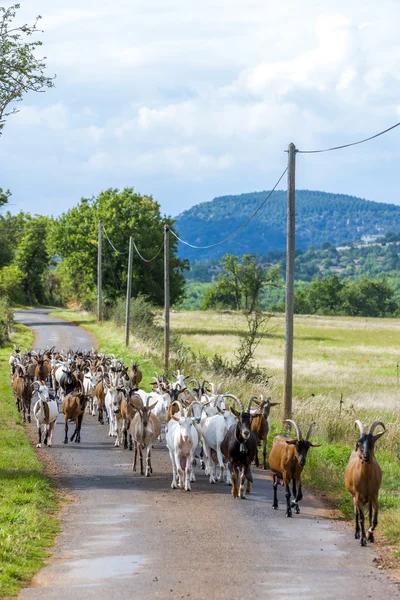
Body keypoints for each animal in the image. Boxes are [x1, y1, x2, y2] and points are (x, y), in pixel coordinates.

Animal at [346, 420, 386, 548]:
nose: (366, 455)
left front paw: (370, 534)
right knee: (357, 513)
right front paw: (363, 539)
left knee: (370, 514)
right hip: (354, 496)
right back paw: (357, 533)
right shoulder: (358, 496)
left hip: (368, 499)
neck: (367, 479)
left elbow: (374, 519)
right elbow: (361, 518)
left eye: (372, 442)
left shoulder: (375, 495)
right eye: (359, 442)